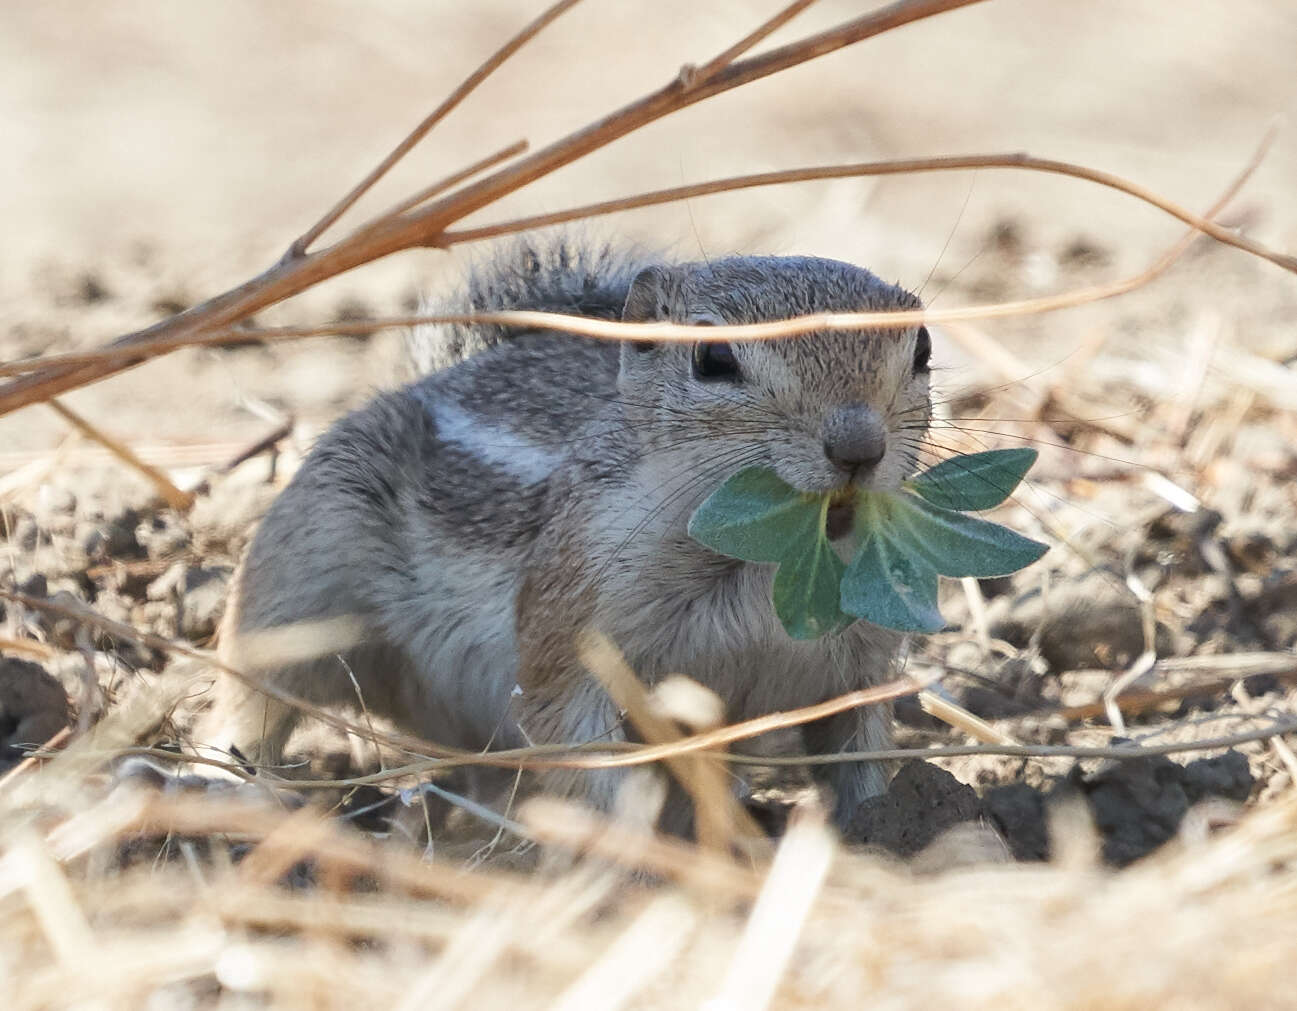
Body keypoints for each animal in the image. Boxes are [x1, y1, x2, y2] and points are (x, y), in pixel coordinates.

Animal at [199, 237, 933, 830]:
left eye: (923, 346)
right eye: (714, 358)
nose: (858, 446)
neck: (766, 565)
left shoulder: (860, 667)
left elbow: (861, 751)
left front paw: (875, 827)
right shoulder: (572, 635)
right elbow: (580, 749)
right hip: (299, 577)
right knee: (252, 699)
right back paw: (222, 781)